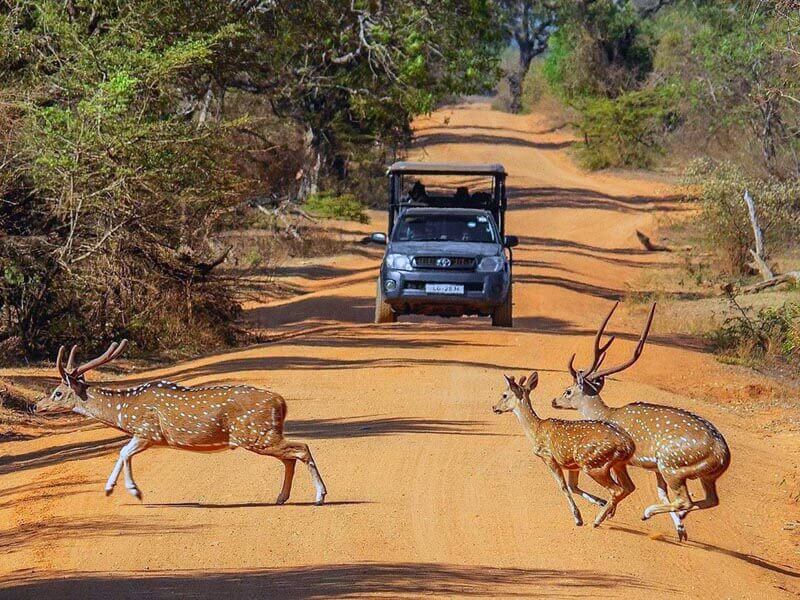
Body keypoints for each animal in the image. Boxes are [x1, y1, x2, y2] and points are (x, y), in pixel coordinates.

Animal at [33, 340, 328, 504]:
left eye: (57, 392)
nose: (36, 405)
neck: (124, 411)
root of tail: (281, 402)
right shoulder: (144, 434)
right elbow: (123, 453)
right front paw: (113, 489)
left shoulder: (148, 430)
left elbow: (124, 452)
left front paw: (131, 491)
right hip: (263, 435)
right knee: (290, 457)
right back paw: (282, 498)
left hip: (256, 434)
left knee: (302, 449)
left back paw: (319, 496)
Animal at [490, 368, 636, 528]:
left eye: (504, 395)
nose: (494, 407)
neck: (536, 431)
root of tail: (628, 444)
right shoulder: (572, 465)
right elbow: (573, 486)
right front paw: (600, 502)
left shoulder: (549, 457)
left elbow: (563, 486)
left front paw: (578, 518)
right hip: (617, 464)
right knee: (629, 487)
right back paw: (606, 511)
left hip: (592, 463)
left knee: (617, 489)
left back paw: (598, 520)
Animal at [552, 302, 732, 540]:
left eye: (568, 391)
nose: (554, 400)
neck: (606, 414)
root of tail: (723, 454)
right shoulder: (653, 468)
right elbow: (661, 492)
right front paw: (680, 529)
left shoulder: (628, 461)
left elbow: (624, 488)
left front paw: (606, 514)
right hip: (702, 475)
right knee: (711, 500)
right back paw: (677, 521)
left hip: (672, 464)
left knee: (685, 499)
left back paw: (647, 512)